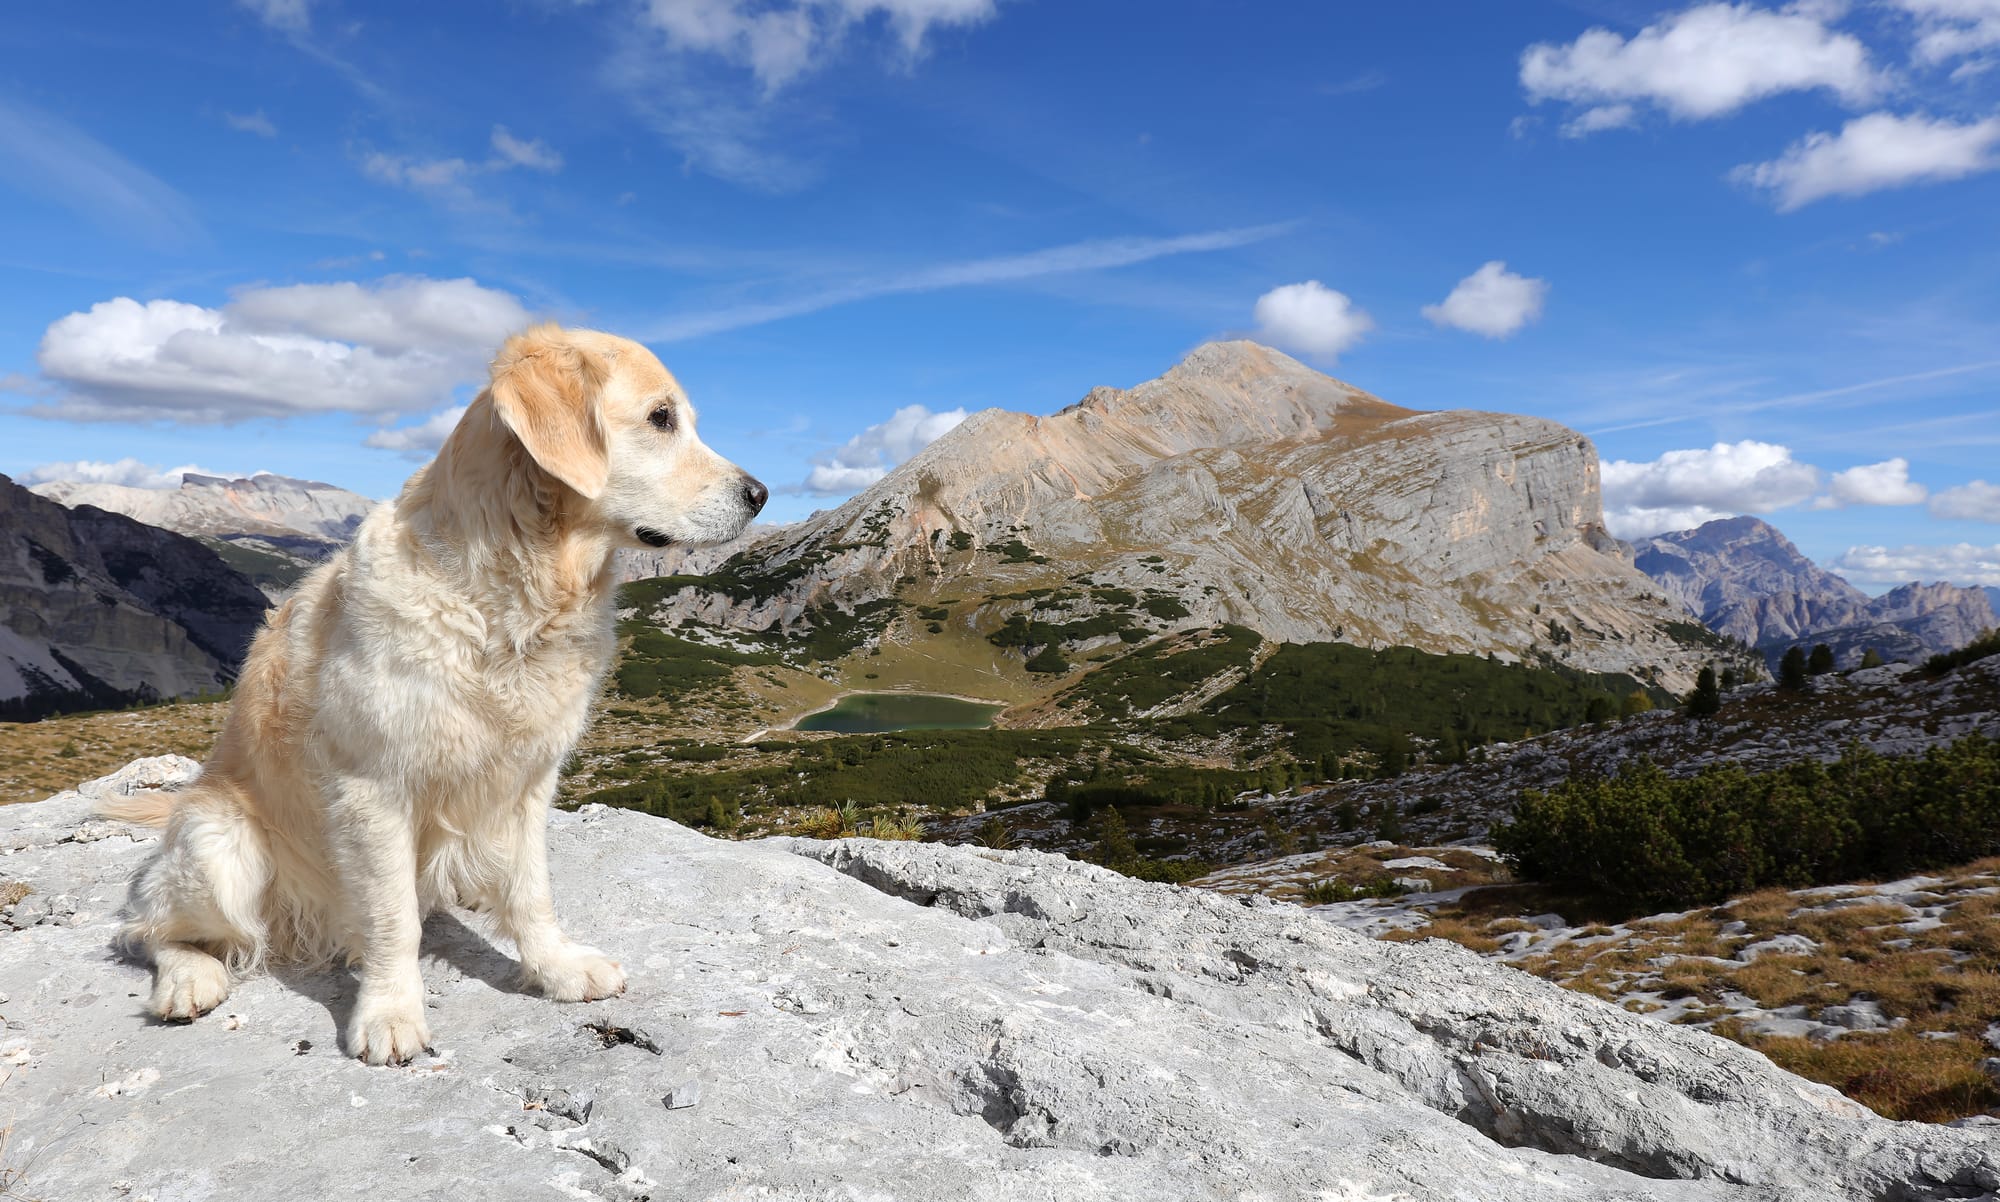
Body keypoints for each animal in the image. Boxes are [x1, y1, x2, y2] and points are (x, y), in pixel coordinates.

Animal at [101, 324, 772, 1064]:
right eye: (661, 418)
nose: (761, 494)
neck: (503, 601)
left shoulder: (529, 781)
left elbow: (532, 891)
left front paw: (556, 967)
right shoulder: (374, 790)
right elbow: (393, 919)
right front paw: (391, 1012)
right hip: (220, 847)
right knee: (146, 928)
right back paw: (188, 979)